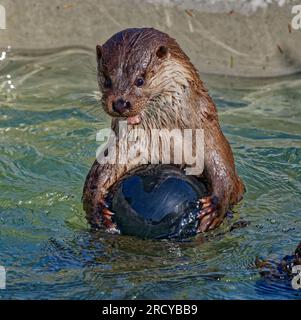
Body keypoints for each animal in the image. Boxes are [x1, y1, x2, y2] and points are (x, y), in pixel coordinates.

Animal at [81, 28, 244, 232]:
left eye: (140, 80)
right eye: (107, 80)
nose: (120, 103)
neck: (166, 141)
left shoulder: (210, 138)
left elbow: (224, 172)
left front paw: (214, 208)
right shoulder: (125, 147)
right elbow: (99, 175)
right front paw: (98, 212)